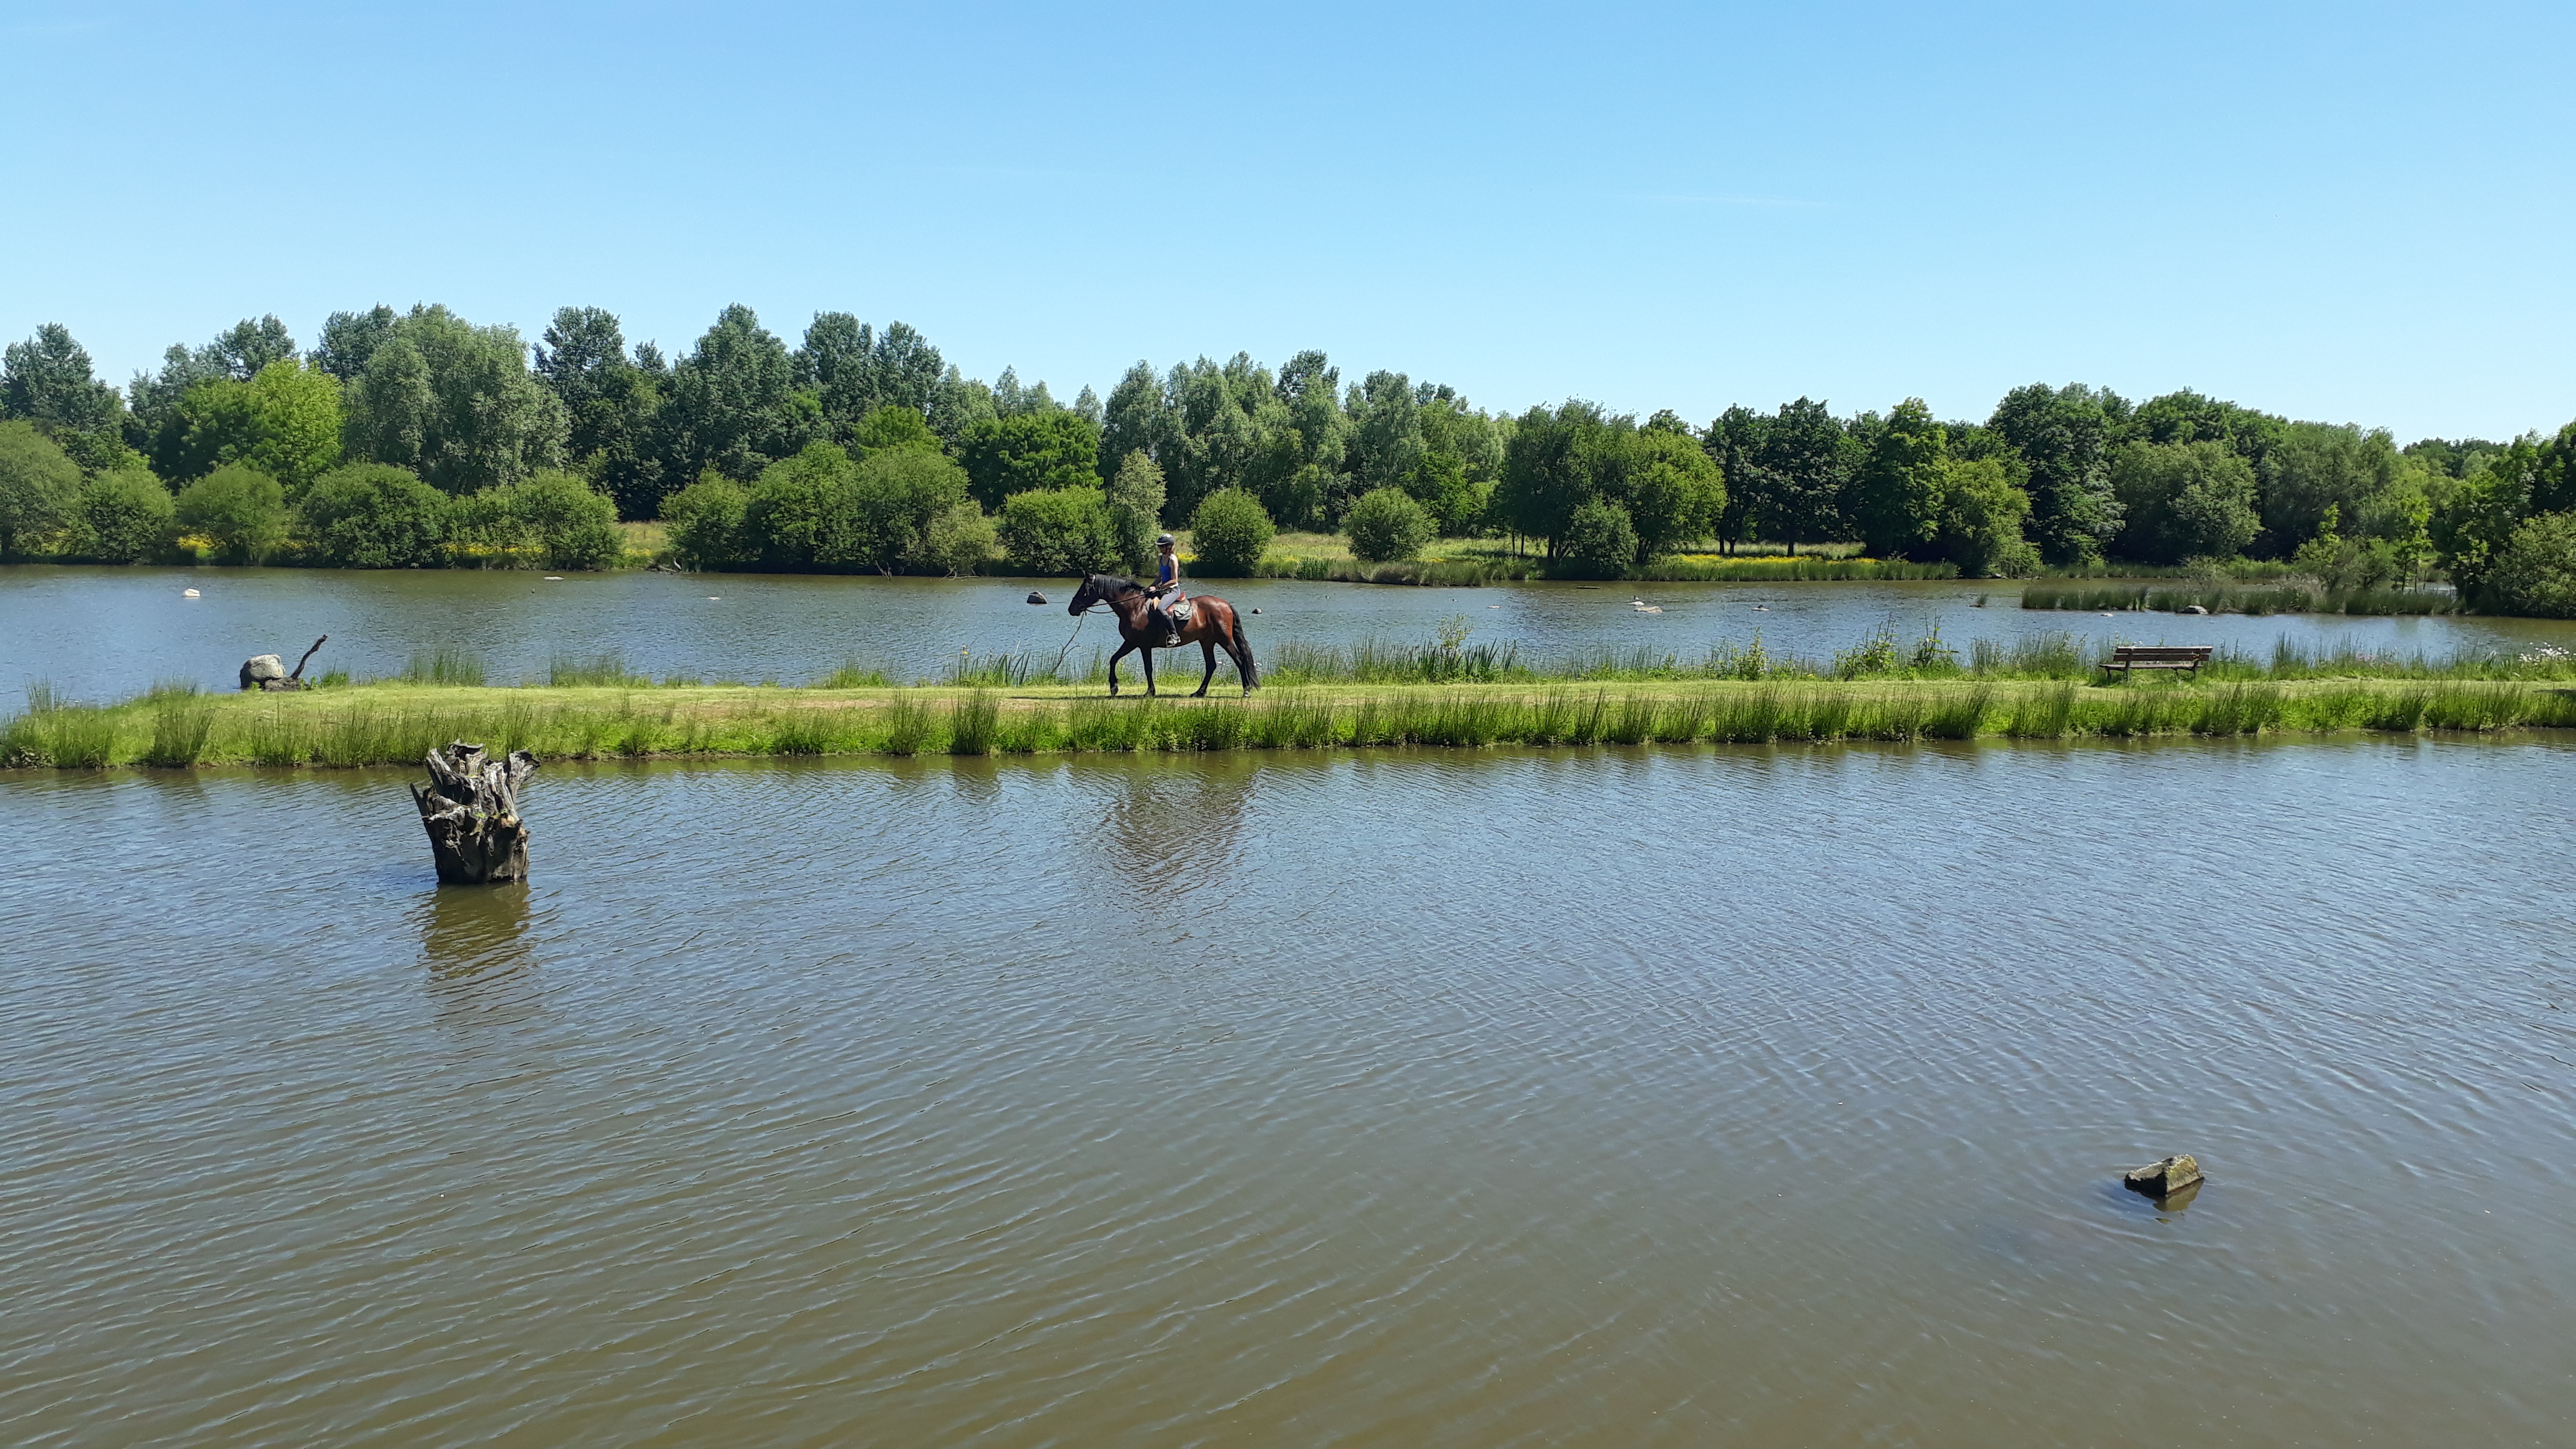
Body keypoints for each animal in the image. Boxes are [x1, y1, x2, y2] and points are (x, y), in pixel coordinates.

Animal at [1066, 570, 1257, 696]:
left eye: (1084, 590)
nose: (1071, 609)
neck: (1134, 607)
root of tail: (1225, 604)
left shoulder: (1143, 646)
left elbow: (1148, 668)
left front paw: (1150, 692)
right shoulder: (1131, 643)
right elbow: (1114, 659)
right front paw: (1114, 687)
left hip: (1224, 639)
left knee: (1239, 659)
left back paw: (1246, 690)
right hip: (1207, 641)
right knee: (1211, 666)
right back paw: (1199, 693)